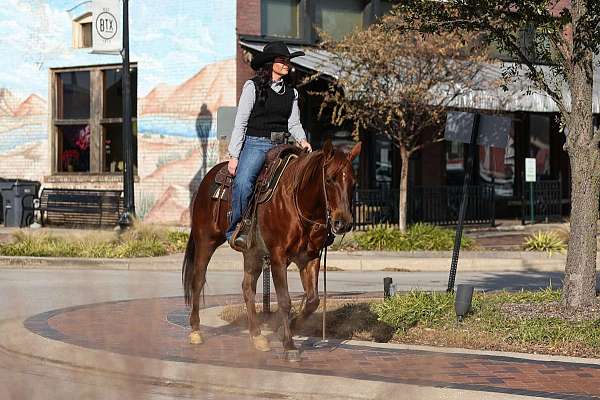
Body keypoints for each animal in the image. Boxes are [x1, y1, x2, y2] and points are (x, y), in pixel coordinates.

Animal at [183, 139, 360, 358]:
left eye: (354, 183)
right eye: (329, 179)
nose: (343, 223)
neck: (298, 202)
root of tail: (208, 177)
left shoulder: (310, 258)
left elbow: (312, 301)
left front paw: (283, 331)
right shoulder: (278, 257)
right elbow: (284, 300)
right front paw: (289, 346)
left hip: (252, 253)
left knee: (247, 287)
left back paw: (257, 336)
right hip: (206, 241)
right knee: (198, 281)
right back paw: (195, 331)